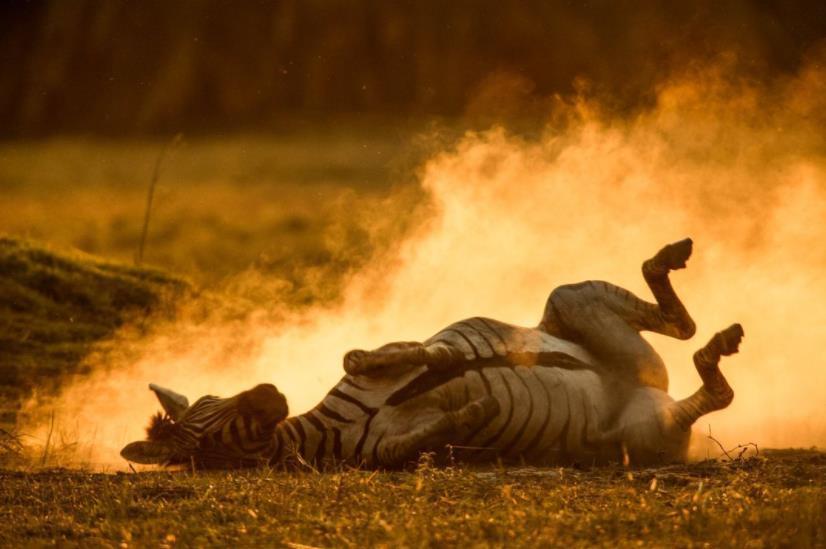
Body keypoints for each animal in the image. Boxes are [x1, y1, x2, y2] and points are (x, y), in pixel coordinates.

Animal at [120, 238, 740, 468]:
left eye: (214, 398)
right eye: (208, 441)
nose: (268, 392)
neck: (324, 432)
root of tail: (646, 387)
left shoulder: (391, 357)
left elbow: (373, 355)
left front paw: (442, 360)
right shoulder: (391, 452)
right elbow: (434, 432)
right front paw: (475, 410)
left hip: (569, 302)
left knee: (678, 325)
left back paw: (673, 265)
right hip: (644, 434)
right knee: (712, 388)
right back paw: (716, 349)